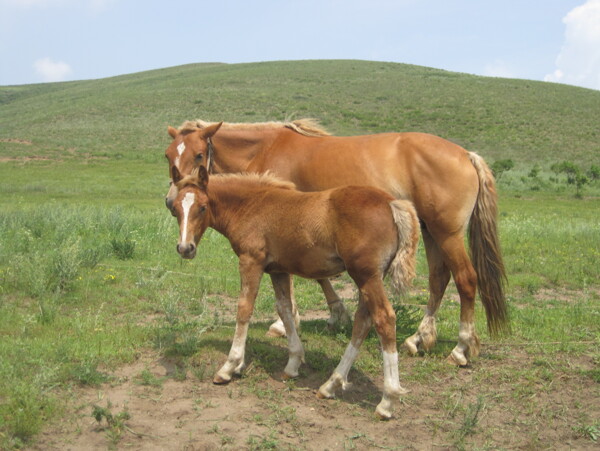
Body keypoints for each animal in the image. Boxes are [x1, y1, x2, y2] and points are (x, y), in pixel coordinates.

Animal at [165, 118, 510, 366]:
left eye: (199, 154)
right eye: (168, 155)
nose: (171, 200)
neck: (265, 147)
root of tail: (466, 155)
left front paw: (287, 323)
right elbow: (318, 277)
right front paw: (334, 313)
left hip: (447, 233)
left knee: (465, 280)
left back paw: (461, 349)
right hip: (430, 230)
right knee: (439, 279)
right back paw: (419, 339)